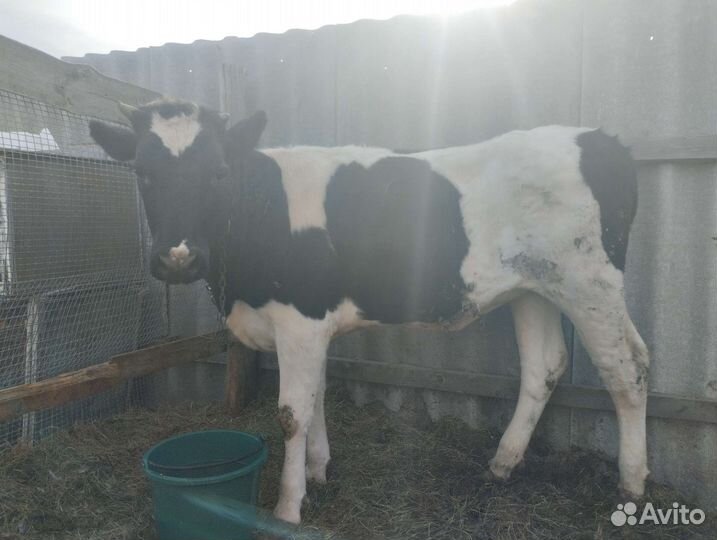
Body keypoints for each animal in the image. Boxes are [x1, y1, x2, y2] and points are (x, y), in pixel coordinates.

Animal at [89, 99, 649, 524]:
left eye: (219, 172)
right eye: (142, 172)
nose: (177, 258)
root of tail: (602, 140)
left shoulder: (300, 319)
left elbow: (291, 413)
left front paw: (288, 509)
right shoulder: (311, 327)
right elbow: (315, 397)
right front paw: (318, 471)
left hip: (590, 282)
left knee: (628, 368)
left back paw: (632, 485)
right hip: (533, 288)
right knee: (544, 368)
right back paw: (501, 464)